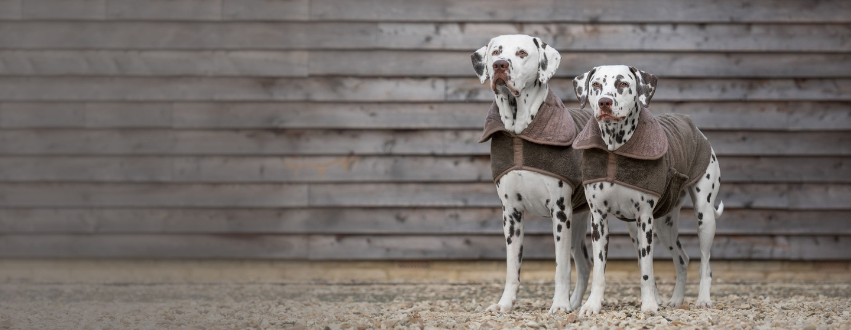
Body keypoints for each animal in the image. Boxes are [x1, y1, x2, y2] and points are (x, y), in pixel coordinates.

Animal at [470, 34, 596, 314]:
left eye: (521, 53)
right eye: (496, 51)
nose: (500, 65)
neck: (520, 132)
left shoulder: (560, 212)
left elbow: (561, 267)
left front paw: (558, 304)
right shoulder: (511, 214)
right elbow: (512, 267)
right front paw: (504, 304)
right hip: (579, 221)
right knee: (585, 264)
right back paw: (574, 303)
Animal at [572, 65, 724, 314]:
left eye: (622, 83)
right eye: (595, 85)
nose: (604, 102)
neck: (616, 149)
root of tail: (695, 128)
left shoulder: (644, 219)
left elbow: (646, 269)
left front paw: (650, 305)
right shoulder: (598, 219)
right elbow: (600, 271)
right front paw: (592, 305)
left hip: (705, 217)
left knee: (705, 263)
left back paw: (703, 299)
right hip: (662, 225)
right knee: (682, 259)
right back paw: (676, 300)